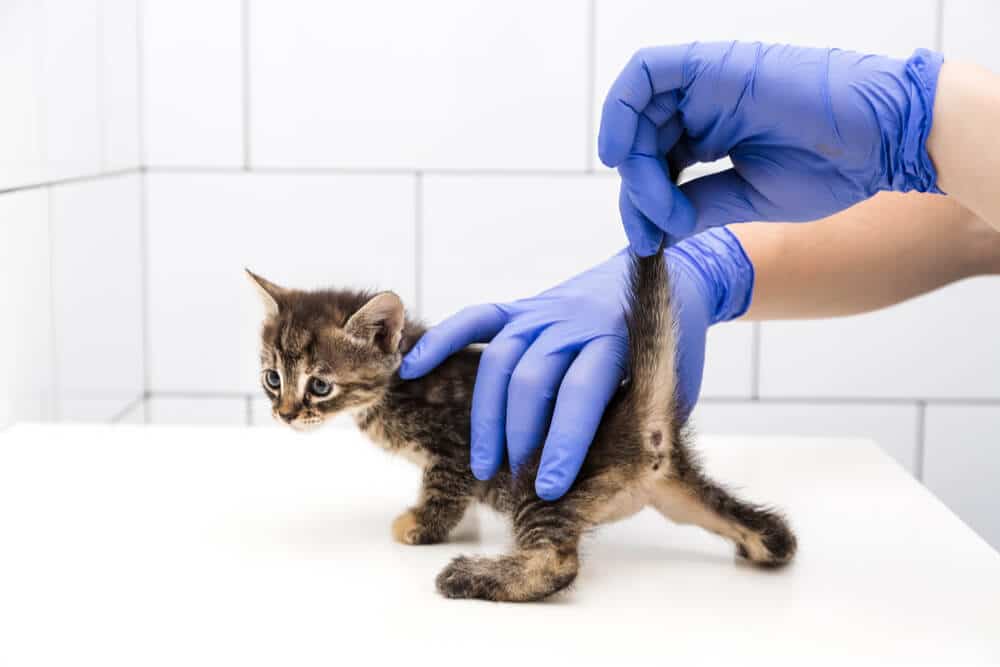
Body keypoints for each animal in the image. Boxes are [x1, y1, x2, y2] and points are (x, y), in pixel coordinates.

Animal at [250, 250, 796, 604]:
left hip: (539, 480)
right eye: (273, 378)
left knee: (558, 563)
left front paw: (419, 527)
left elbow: (443, 493)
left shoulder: (457, 450)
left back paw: (468, 577)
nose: (285, 414)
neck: (394, 384)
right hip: (675, 490)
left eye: (320, 386)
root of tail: (643, 423)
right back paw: (761, 544)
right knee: (772, 532)